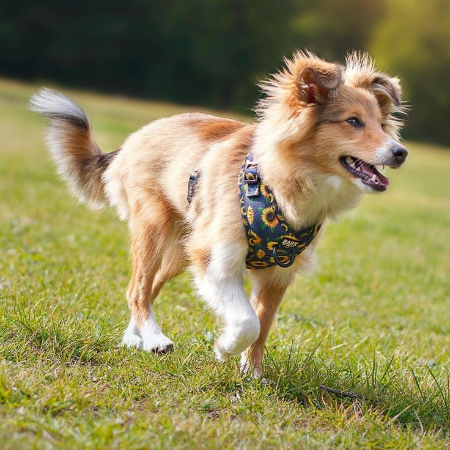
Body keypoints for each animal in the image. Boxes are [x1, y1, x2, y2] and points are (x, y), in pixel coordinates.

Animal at [29, 51, 408, 376]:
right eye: (353, 121)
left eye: (381, 124)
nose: (401, 152)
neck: (282, 187)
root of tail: (130, 141)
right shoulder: (216, 259)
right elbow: (247, 322)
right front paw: (224, 347)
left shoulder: (278, 274)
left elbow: (263, 325)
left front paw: (252, 374)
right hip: (155, 226)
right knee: (137, 290)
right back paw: (155, 339)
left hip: (181, 248)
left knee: (149, 288)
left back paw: (134, 339)